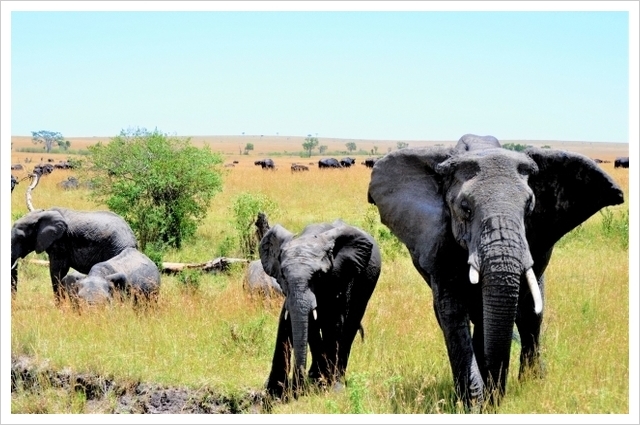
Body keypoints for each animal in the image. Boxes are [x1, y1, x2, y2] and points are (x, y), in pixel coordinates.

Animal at [258, 220, 380, 400]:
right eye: (283, 276)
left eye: (319, 276)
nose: (297, 389)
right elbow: (289, 321)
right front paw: (274, 393)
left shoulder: (341, 276)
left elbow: (334, 324)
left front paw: (329, 386)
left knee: (349, 325)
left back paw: (335, 379)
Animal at [368, 134, 624, 410]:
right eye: (465, 208)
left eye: (529, 208)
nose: (496, 397)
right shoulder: (437, 240)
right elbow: (451, 312)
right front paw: (472, 405)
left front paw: (486, 400)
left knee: (530, 315)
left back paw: (531, 382)